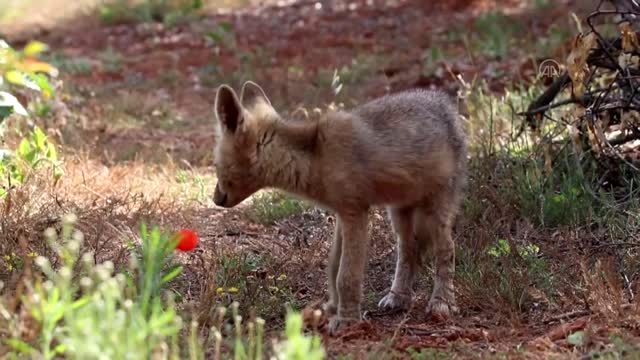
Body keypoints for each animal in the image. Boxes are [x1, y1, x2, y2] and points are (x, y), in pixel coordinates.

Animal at [212, 80, 468, 334]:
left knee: (447, 251)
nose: (215, 199)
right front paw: (332, 309)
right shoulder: (341, 215)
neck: (317, 157)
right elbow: (333, 268)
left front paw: (346, 321)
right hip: (399, 214)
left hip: (436, 212)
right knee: (408, 252)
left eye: (215, 166)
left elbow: (346, 276)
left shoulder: (356, 213)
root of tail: (445, 104)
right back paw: (398, 297)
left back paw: (442, 302)